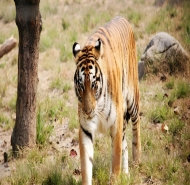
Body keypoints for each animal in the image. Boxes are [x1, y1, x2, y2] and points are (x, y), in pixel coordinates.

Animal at [72, 16, 141, 184]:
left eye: (94, 85)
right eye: (81, 86)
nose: (88, 111)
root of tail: (122, 18)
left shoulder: (116, 123)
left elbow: (115, 160)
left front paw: (115, 179)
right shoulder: (85, 129)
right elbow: (86, 166)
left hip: (132, 98)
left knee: (136, 125)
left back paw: (137, 160)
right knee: (125, 143)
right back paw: (127, 173)